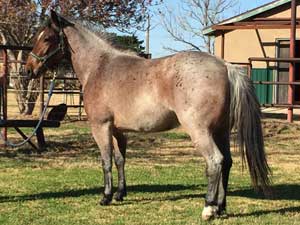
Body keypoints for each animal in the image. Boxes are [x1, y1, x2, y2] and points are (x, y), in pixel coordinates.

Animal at [24, 10, 270, 220]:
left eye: (47, 38)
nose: (28, 70)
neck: (99, 67)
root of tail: (225, 66)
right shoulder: (118, 130)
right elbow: (120, 160)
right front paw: (120, 194)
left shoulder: (101, 127)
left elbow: (106, 161)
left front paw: (106, 197)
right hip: (220, 131)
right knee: (227, 162)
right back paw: (221, 207)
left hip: (200, 131)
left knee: (215, 161)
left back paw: (208, 208)